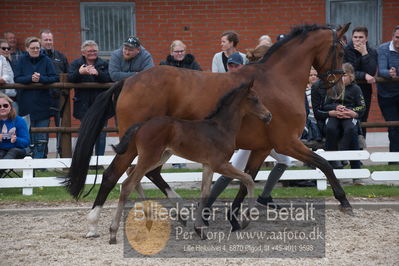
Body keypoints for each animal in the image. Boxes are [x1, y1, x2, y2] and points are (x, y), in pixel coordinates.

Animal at [108, 81, 274, 243]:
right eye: (254, 99)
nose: (269, 115)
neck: (221, 128)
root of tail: (141, 125)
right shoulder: (220, 164)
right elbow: (248, 179)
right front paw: (246, 220)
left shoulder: (208, 165)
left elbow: (205, 193)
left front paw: (199, 230)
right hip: (150, 157)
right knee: (127, 184)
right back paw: (113, 232)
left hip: (161, 156)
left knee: (133, 173)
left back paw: (149, 216)